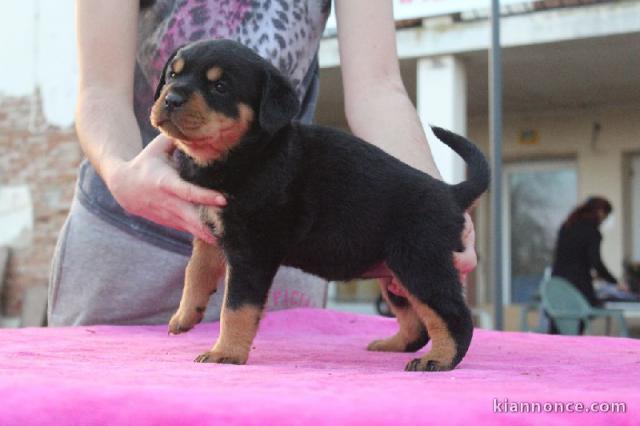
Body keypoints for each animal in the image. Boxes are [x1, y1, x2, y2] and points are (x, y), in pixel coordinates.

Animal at [150, 40, 490, 372]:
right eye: (172, 75)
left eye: (220, 86)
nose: (171, 99)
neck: (243, 154)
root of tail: (450, 192)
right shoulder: (208, 230)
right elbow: (196, 271)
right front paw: (185, 316)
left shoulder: (252, 251)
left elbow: (236, 306)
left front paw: (225, 352)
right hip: (394, 273)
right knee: (416, 322)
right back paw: (392, 344)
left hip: (419, 263)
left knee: (454, 316)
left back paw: (439, 359)